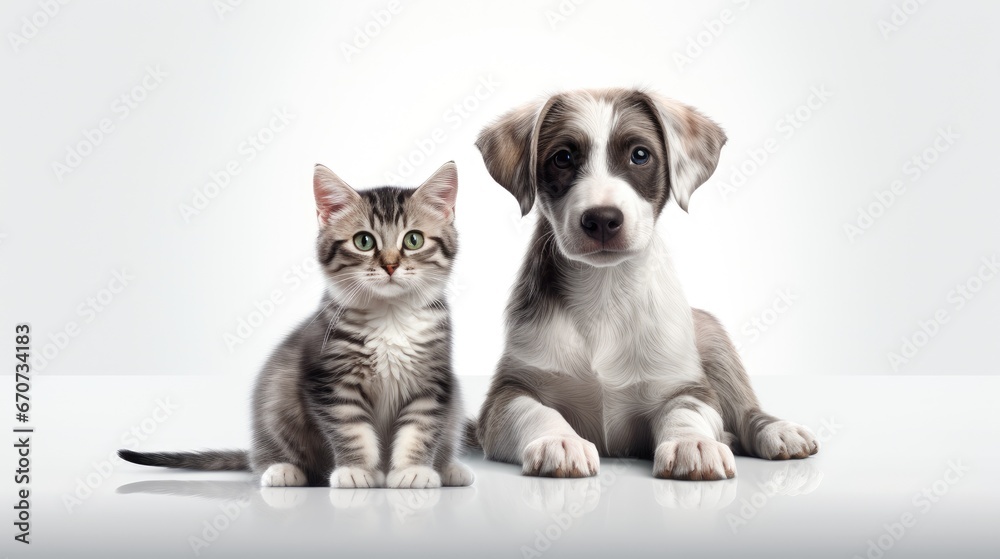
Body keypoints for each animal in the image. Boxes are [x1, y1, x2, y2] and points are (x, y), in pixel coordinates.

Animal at [120, 162, 472, 490]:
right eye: (363, 241)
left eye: (413, 240)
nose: (389, 265)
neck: (390, 316)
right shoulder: (330, 381)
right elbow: (351, 429)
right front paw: (355, 470)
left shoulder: (433, 381)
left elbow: (421, 429)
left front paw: (413, 470)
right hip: (275, 397)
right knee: (265, 456)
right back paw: (283, 469)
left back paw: (449, 469)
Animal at [472, 88, 816, 482]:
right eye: (563, 157)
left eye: (640, 155)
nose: (602, 219)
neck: (603, 291)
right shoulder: (509, 391)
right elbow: (535, 410)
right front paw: (560, 441)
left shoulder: (686, 386)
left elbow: (685, 410)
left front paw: (692, 444)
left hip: (712, 336)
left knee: (744, 411)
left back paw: (778, 430)